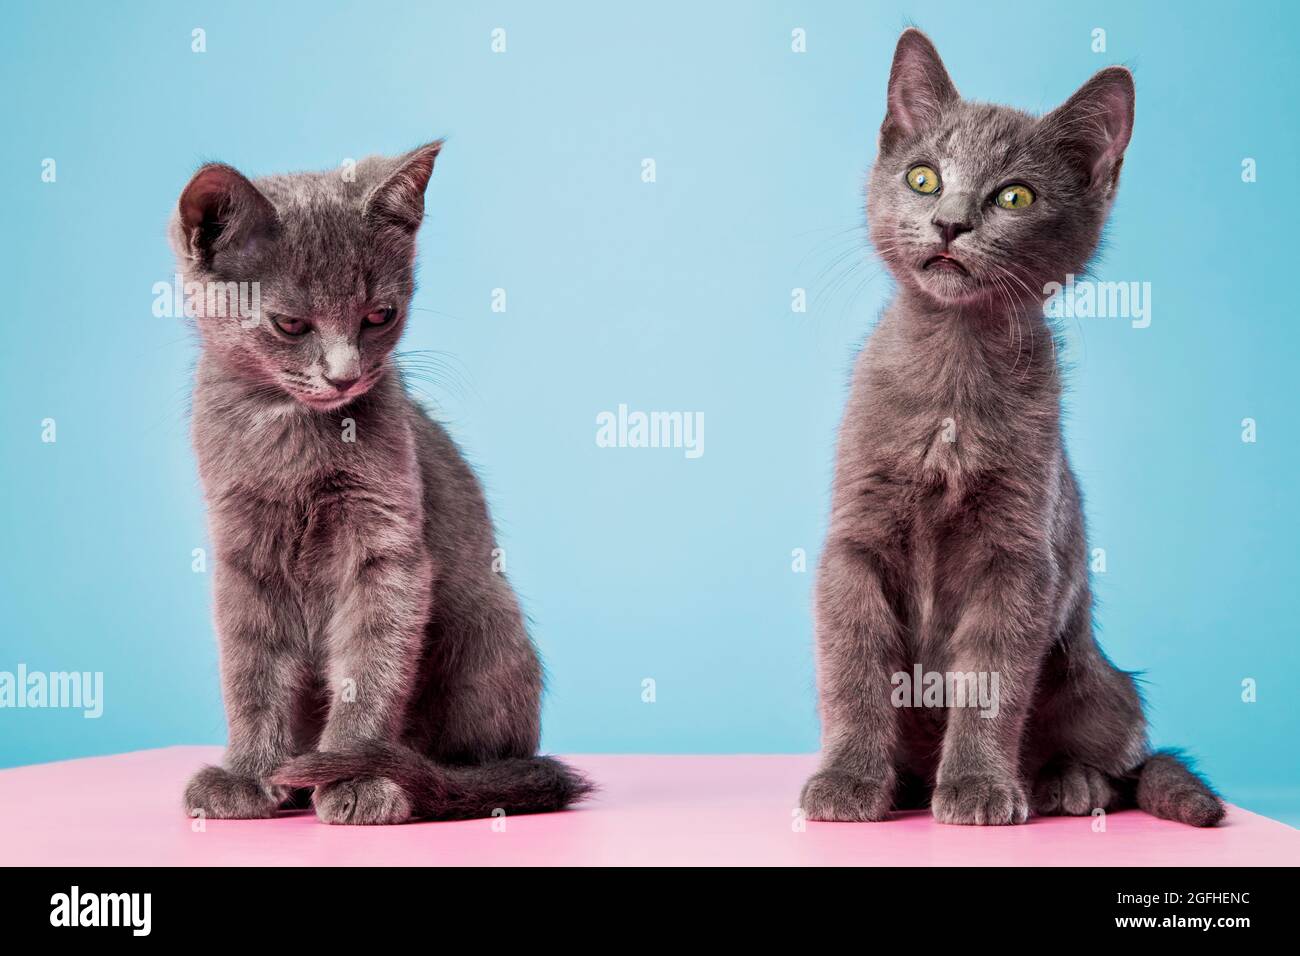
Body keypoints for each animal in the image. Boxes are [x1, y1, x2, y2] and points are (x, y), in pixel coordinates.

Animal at [175, 145, 592, 827]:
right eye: (290, 324)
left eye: (379, 316)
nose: (344, 376)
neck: (298, 435)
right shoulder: (242, 549)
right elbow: (251, 667)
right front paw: (249, 774)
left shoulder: (386, 544)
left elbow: (372, 661)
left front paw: (356, 775)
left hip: (487, 620)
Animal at [795, 31, 1222, 832]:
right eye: (924, 178)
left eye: (1014, 196)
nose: (950, 222)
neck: (953, 373)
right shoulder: (855, 541)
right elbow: (854, 668)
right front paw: (847, 779)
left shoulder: (1018, 555)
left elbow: (991, 682)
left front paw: (978, 787)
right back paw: (907, 781)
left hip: (1101, 686)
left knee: (1126, 764)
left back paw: (1065, 783)